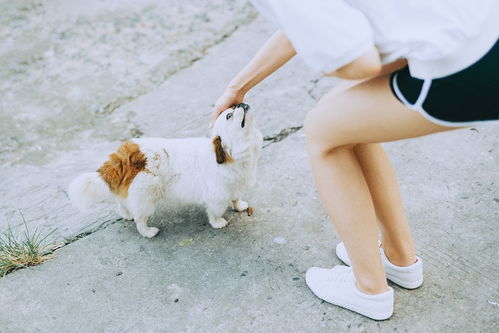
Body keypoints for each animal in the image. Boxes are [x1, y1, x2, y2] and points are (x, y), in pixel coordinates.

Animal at [68, 103, 264, 236]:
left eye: (233, 107)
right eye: (229, 115)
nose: (240, 103)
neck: (232, 156)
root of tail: (126, 157)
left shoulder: (235, 186)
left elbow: (236, 197)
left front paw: (239, 205)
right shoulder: (216, 197)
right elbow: (215, 212)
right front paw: (218, 223)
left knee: (121, 203)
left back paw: (127, 214)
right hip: (147, 198)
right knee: (140, 220)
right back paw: (148, 232)